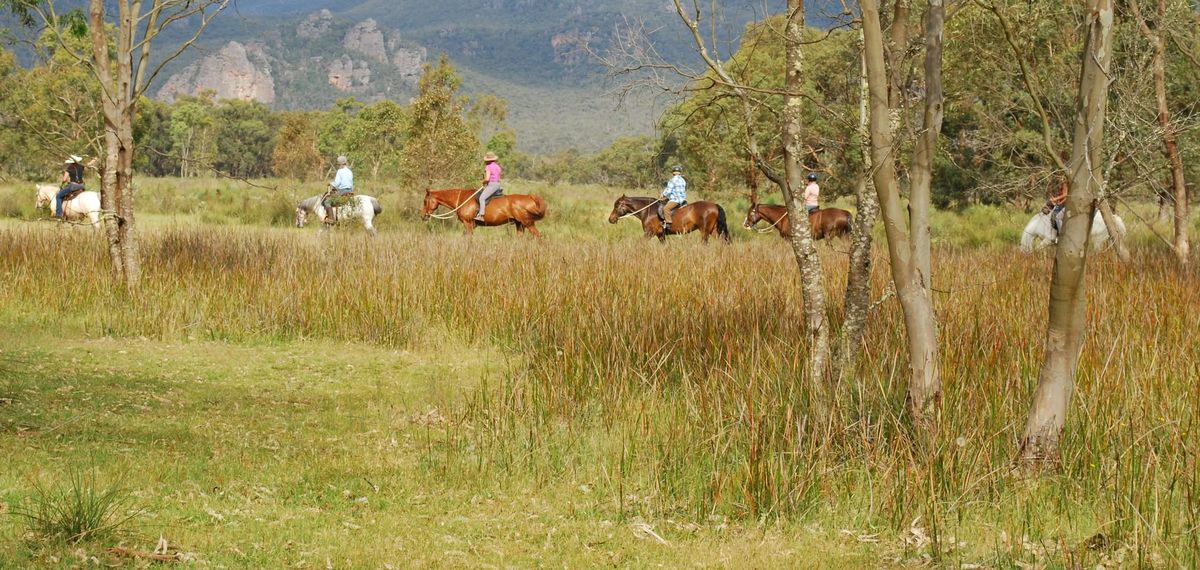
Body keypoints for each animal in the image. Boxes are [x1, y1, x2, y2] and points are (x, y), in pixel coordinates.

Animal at [600, 196, 729, 243]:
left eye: (617, 206)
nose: (611, 219)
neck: (648, 210)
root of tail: (714, 205)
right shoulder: (660, 234)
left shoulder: (649, 233)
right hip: (714, 230)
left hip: (705, 230)